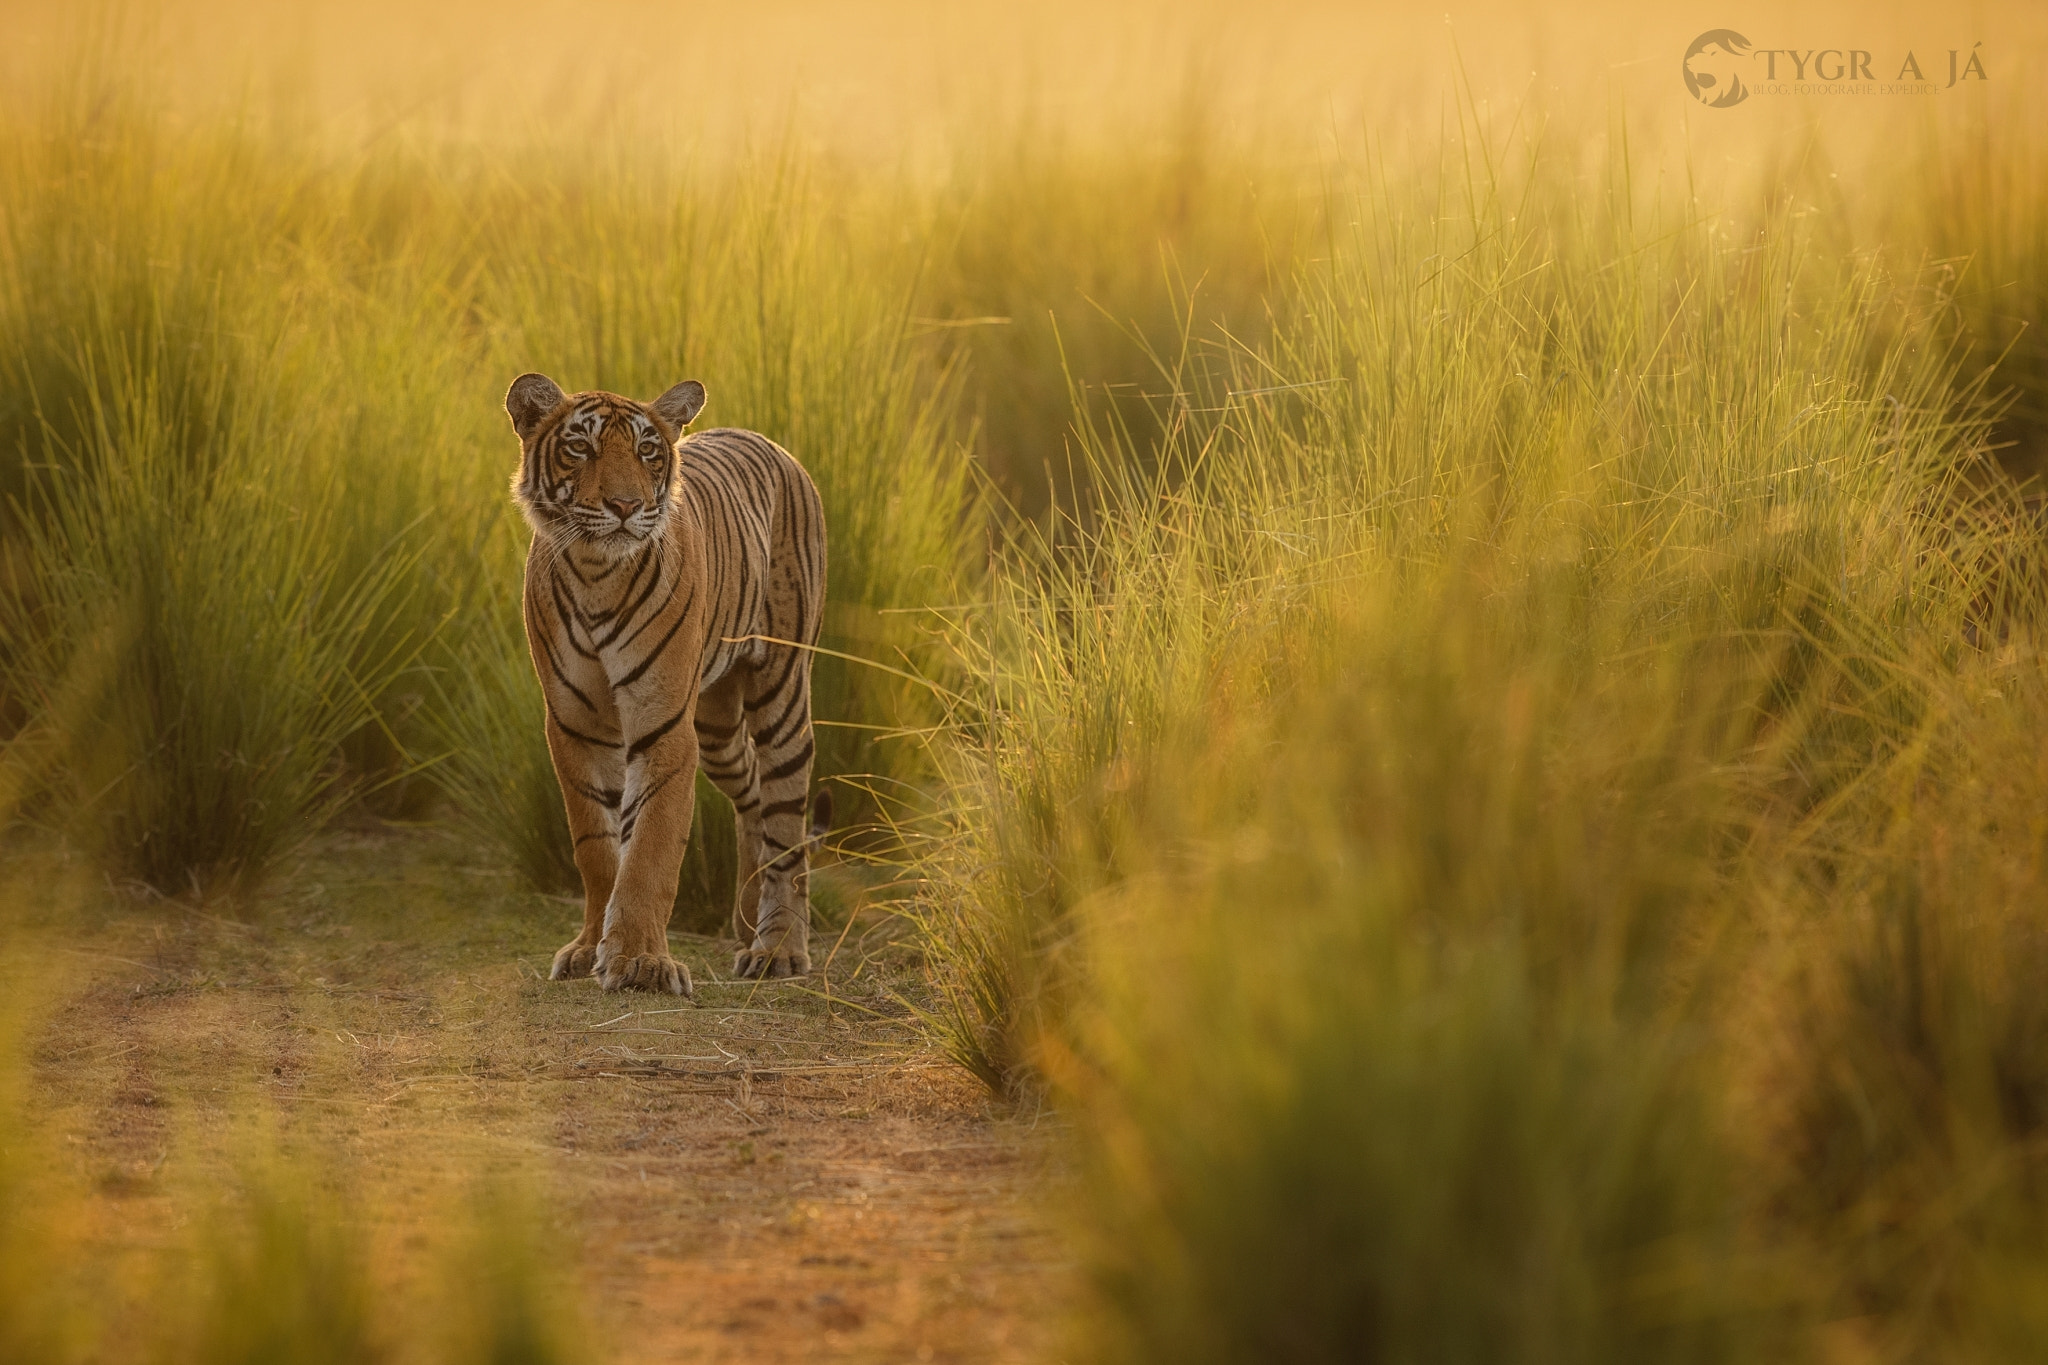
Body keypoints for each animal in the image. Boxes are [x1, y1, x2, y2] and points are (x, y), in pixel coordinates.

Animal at [499, 370, 827, 994]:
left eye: (647, 451)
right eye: (581, 447)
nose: (625, 506)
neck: (596, 572)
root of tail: (770, 443)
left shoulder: (663, 723)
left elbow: (651, 848)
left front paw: (641, 962)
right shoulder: (575, 725)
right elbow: (598, 848)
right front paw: (589, 949)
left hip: (781, 691)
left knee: (785, 825)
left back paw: (777, 948)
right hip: (718, 724)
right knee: (752, 794)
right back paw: (747, 922)